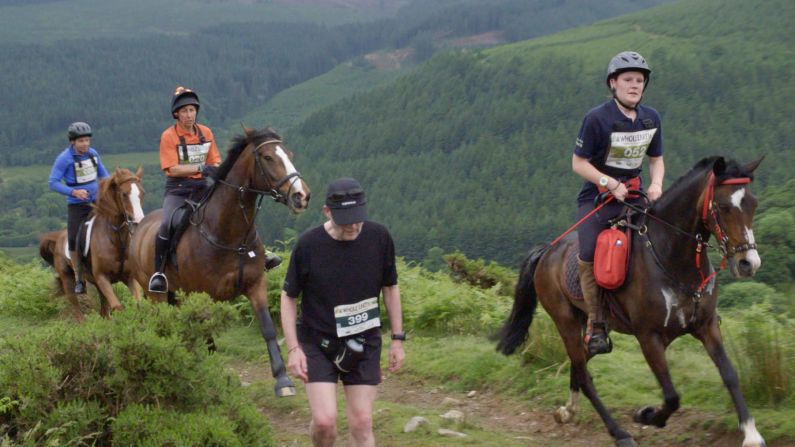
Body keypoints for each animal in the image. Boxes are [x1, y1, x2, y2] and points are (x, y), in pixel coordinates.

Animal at [38, 168, 145, 322]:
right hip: (68, 279)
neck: (116, 240)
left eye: (142, 193)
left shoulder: (129, 277)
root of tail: (58, 238)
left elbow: (138, 304)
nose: (137, 223)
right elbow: (118, 307)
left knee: (103, 310)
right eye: (124, 194)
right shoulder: (102, 278)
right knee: (76, 308)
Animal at [129, 127, 310, 400]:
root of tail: (140, 228)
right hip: (156, 294)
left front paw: (282, 380)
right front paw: (212, 372)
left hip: (178, 295)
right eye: (268, 158)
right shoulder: (202, 294)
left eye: (288, 154)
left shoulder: (255, 284)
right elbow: (207, 335)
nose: (301, 196)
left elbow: (267, 328)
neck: (229, 234)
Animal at [500, 158, 768, 447]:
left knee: (580, 363)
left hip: (588, 322)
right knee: (583, 373)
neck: (673, 257)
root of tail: (548, 250)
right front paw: (648, 415)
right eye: (723, 206)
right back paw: (619, 433)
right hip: (565, 321)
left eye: (753, 204)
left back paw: (567, 411)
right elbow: (672, 396)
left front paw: (751, 433)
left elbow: (729, 375)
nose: (748, 263)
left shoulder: (706, 326)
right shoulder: (649, 337)